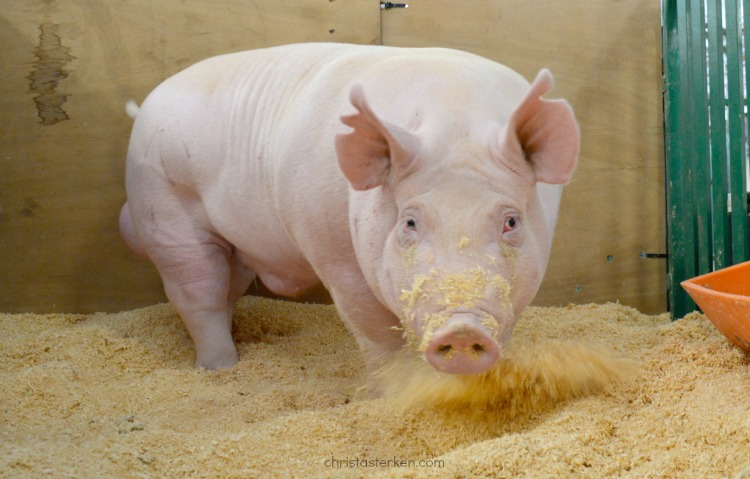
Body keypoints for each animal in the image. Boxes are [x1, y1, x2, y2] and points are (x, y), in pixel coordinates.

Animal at [120, 42, 580, 378]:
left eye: (511, 221)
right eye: (410, 221)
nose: (463, 327)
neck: (456, 117)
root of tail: (144, 109)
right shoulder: (331, 249)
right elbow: (375, 331)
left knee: (228, 288)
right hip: (165, 207)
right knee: (199, 293)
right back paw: (220, 369)